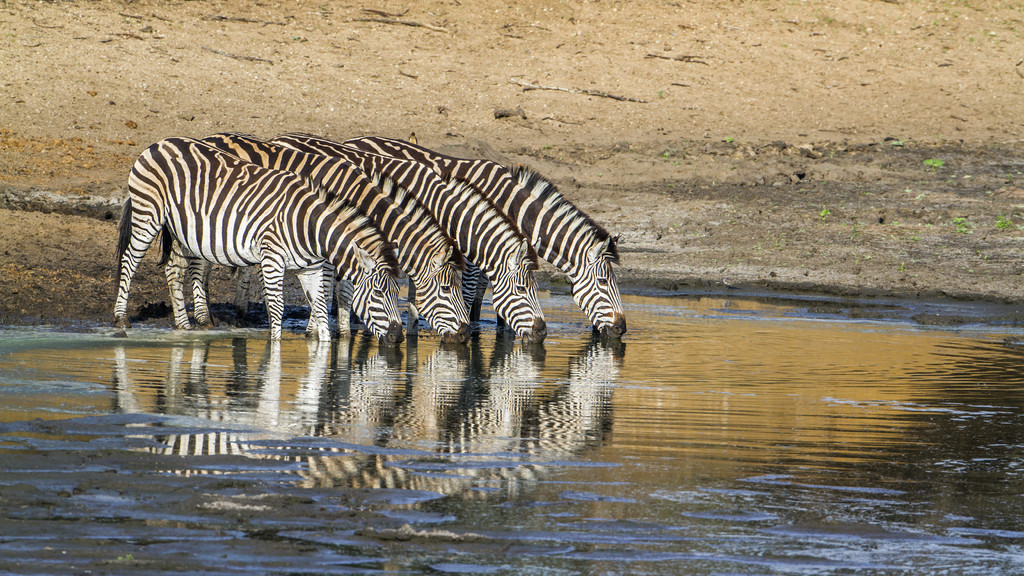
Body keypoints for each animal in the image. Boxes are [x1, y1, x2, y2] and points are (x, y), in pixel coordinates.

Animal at [112, 136, 399, 342]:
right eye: (377, 293)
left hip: (183, 228)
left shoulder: (311, 269)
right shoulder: (272, 259)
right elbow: (277, 309)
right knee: (130, 260)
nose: (398, 337)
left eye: (397, 294)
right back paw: (121, 318)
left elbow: (319, 309)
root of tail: (159, 143)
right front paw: (275, 350)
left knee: (174, 269)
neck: (308, 227)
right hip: (148, 214)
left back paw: (183, 325)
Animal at [183, 132, 468, 342]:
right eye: (447, 289)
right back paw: (203, 317)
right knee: (198, 261)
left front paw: (342, 332)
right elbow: (330, 286)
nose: (465, 334)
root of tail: (209, 137)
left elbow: (344, 289)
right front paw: (318, 330)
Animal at [344, 135, 626, 338]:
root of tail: (354, 139)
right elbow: (470, 293)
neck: (510, 205)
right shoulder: (471, 252)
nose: (621, 329)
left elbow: (485, 290)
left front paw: (503, 327)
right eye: (604, 282)